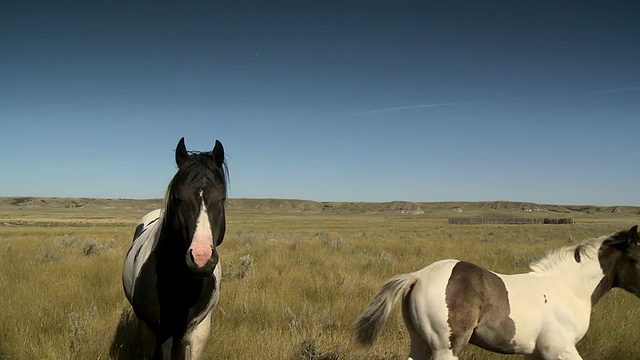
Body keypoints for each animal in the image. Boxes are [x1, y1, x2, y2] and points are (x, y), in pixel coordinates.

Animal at [356, 225, 640, 360]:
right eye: (637, 258)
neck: (568, 288)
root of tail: (418, 275)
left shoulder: (535, 354)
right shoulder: (560, 349)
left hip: (419, 342)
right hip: (446, 347)